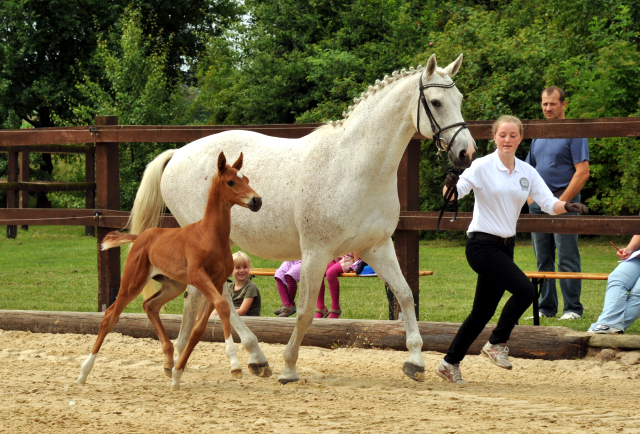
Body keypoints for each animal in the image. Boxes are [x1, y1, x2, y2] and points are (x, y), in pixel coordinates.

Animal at [77, 152, 268, 390]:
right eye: (231, 182)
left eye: (248, 179)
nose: (256, 201)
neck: (209, 234)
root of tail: (140, 237)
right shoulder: (199, 277)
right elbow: (223, 306)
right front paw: (234, 363)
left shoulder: (216, 281)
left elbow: (200, 328)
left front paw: (178, 374)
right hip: (133, 281)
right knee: (110, 315)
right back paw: (84, 372)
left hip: (173, 285)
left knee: (150, 306)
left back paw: (168, 362)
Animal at [130, 54, 476, 384]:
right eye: (436, 102)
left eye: (460, 98)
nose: (466, 152)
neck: (355, 167)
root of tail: (177, 154)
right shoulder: (316, 252)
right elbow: (306, 311)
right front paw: (289, 367)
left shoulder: (376, 247)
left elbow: (404, 295)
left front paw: (415, 361)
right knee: (218, 296)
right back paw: (252, 357)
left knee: (199, 297)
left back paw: (182, 359)